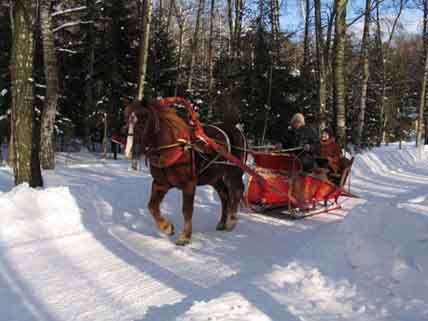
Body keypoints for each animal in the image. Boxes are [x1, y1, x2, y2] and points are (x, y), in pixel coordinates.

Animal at [122, 97, 246, 245]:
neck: (173, 147)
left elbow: (187, 210)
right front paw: (167, 227)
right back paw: (222, 223)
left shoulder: (189, 184)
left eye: (144, 118)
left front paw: (185, 236)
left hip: (234, 172)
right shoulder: (160, 184)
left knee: (237, 191)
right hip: (214, 177)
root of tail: (236, 130)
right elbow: (152, 206)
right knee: (224, 196)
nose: (129, 150)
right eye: (126, 118)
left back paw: (231, 221)